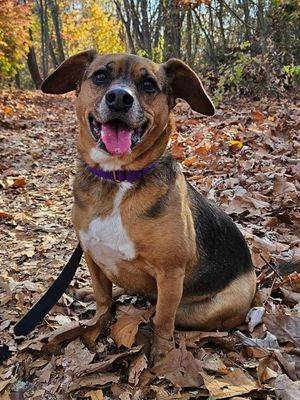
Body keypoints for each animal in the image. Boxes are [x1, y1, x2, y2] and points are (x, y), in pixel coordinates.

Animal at [41, 50, 256, 362]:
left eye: (149, 85)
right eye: (100, 76)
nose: (120, 98)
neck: (119, 179)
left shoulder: (170, 275)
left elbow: (162, 321)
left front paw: (162, 357)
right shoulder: (92, 257)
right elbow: (103, 300)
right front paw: (96, 326)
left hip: (198, 309)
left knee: (162, 311)